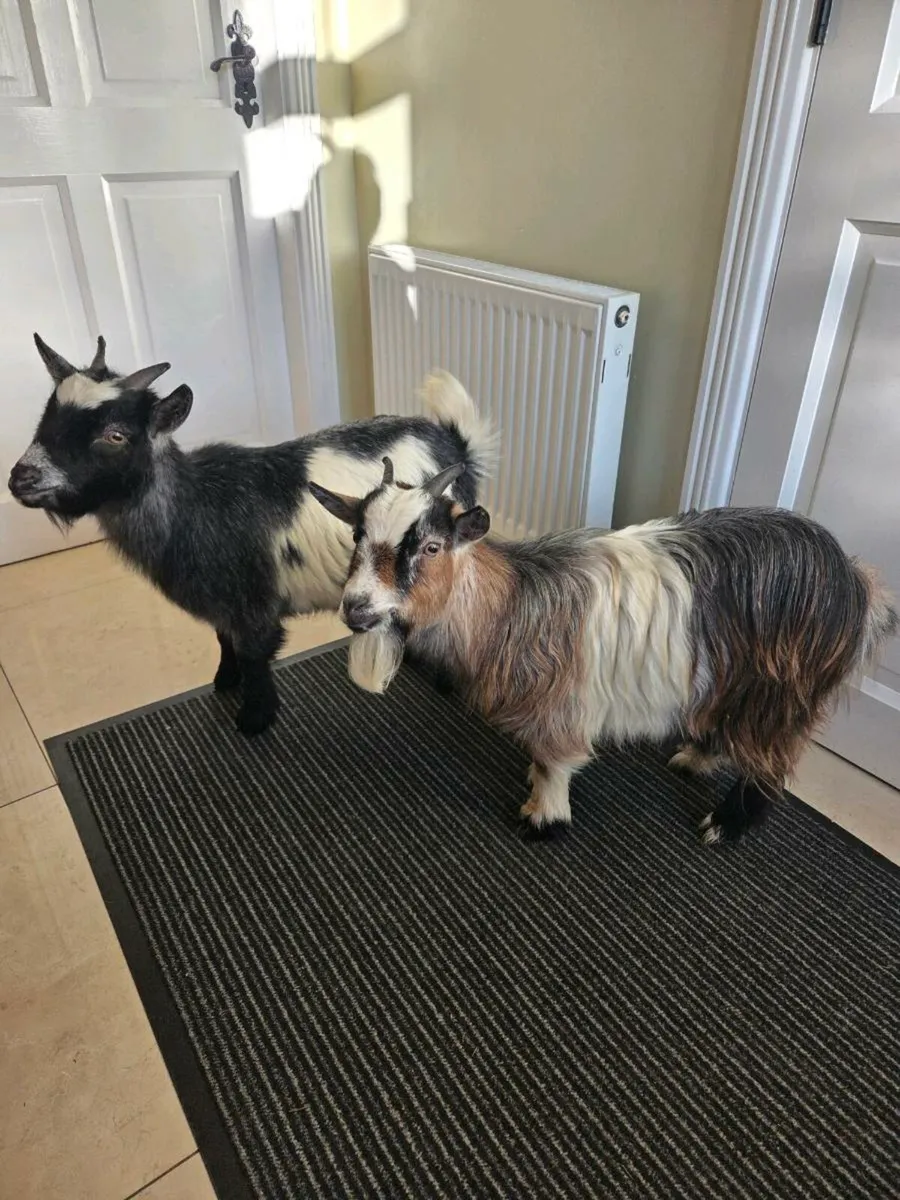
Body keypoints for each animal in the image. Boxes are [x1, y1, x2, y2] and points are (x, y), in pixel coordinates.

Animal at [8, 336, 495, 735]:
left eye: (115, 435)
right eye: (47, 416)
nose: (20, 478)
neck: (194, 505)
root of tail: (455, 443)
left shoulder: (254, 605)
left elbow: (255, 655)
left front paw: (254, 718)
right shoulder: (221, 602)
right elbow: (224, 640)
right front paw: (224, 681)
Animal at [310, 454, 898, 843]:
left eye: (432, 547)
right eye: (356, 536)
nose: (357, 609)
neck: (510, 605)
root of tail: (858, 582)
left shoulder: (560, 702)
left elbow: (555, 762)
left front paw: (541, 816)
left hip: (783, 688)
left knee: (771, 757)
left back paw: (724, 824)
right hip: (734, 673)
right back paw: (694, 758)